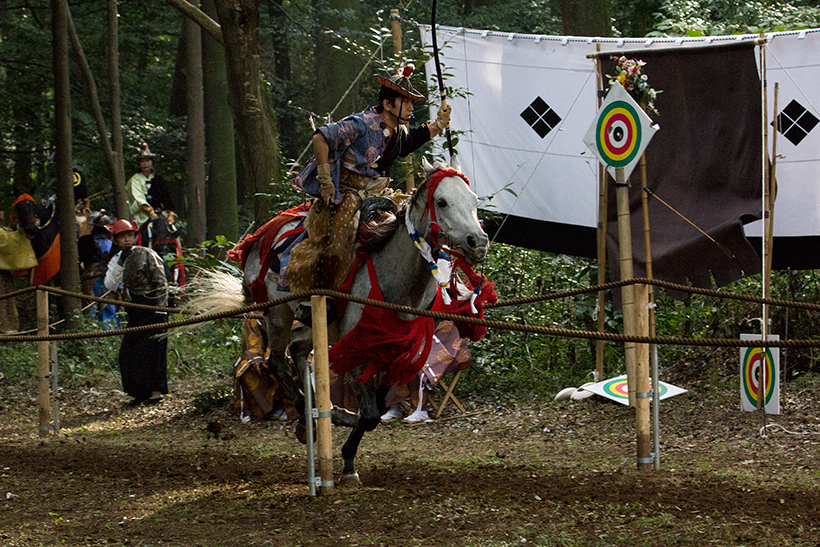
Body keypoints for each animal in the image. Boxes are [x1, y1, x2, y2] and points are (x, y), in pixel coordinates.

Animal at [186, 157, 486, 484]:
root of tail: (260, 237)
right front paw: (346, 453)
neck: (396, 280)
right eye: (441, 202)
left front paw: (346, 448)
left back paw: (318, 413)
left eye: (474, 201)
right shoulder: (354, 351)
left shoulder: (392, 350)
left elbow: (379, 407)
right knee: (277, 362)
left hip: (323, 326)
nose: (478, 241)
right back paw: (309, 417)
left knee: (298, 349)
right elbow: (369, 414)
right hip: (279, 314)